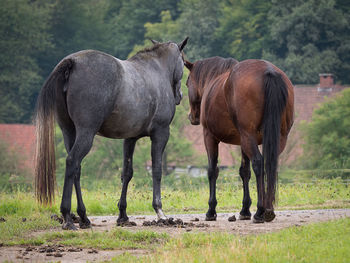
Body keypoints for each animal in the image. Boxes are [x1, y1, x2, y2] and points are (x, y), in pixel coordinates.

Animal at [34, 38, 189, 230]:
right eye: (183, 61)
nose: (180, 95)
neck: (156, 69)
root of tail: (72, 62)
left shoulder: (130, 138)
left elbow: (127, 173)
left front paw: (122, 215)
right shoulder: (160, 134)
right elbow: (157, 170)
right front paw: (160, 212)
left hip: (68, 131)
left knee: (76, 168)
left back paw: (83, 217)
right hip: (86, 133)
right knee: (72, 161)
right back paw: (68, 217)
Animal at [185, 57, 294, 223]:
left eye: (186, 83)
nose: (191, 116)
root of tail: (269, 71)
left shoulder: (209, 137)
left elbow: (212, 170)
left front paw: (211, 210)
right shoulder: (243, 141)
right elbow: (244, 172)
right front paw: (245, 209)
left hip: (247, 136)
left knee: (258, 163)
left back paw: (260, 211)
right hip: (275, 138)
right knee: (269, 164)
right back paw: (269, 209)